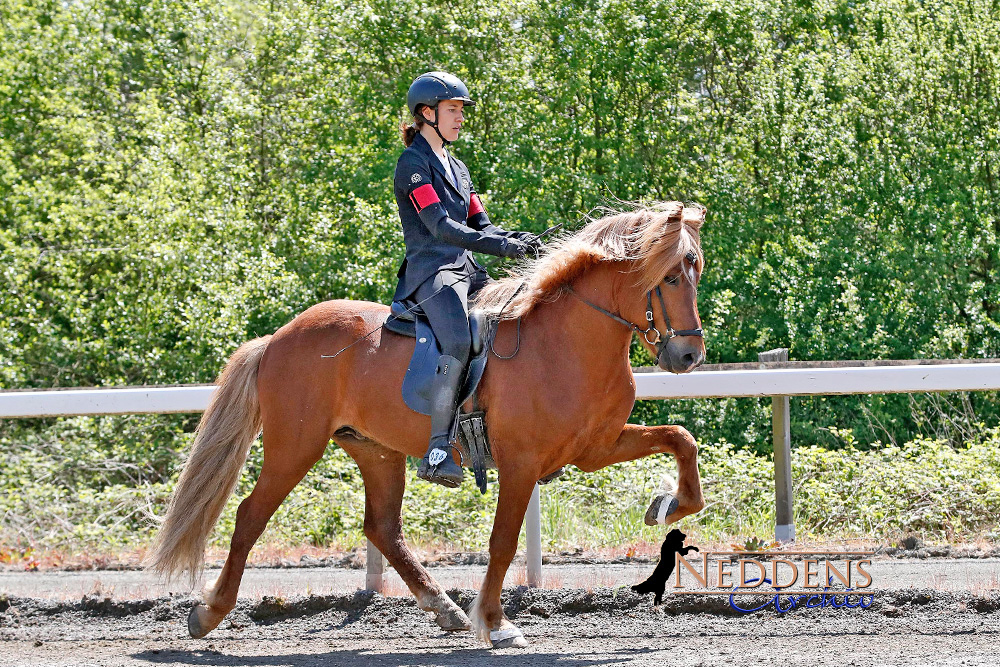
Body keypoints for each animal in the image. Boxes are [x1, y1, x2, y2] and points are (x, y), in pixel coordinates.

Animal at [146, 200, 712, 648]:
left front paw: (670, 505)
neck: (568, 342)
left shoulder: (595, 447)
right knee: (249, 517)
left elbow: (680, 440)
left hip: (376, 451)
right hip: (295, 447)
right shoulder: (521, 463)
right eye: (669, 277)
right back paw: (208, 613)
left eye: (697, 272)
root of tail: (280, 337)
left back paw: (444, 608)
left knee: (382, 527)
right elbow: (503, 542)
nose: (688, 356)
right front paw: (495, 622)